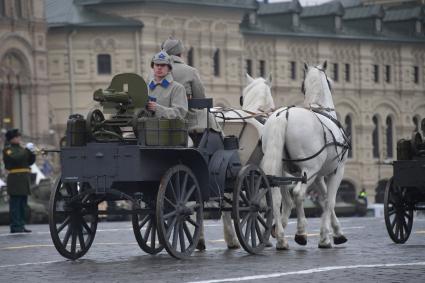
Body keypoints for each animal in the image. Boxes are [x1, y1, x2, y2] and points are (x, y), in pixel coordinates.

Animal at [260, 61, 350, 250]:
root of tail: (283, 115)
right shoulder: (337, 170)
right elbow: (330, 201)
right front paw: (325, 237)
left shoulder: (318, 176)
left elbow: (324, 199)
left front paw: (337, 232)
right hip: (308, 170)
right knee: (297, 194)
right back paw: (300, 233)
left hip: (281, 170)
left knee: (277, 197)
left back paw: (281, 238)